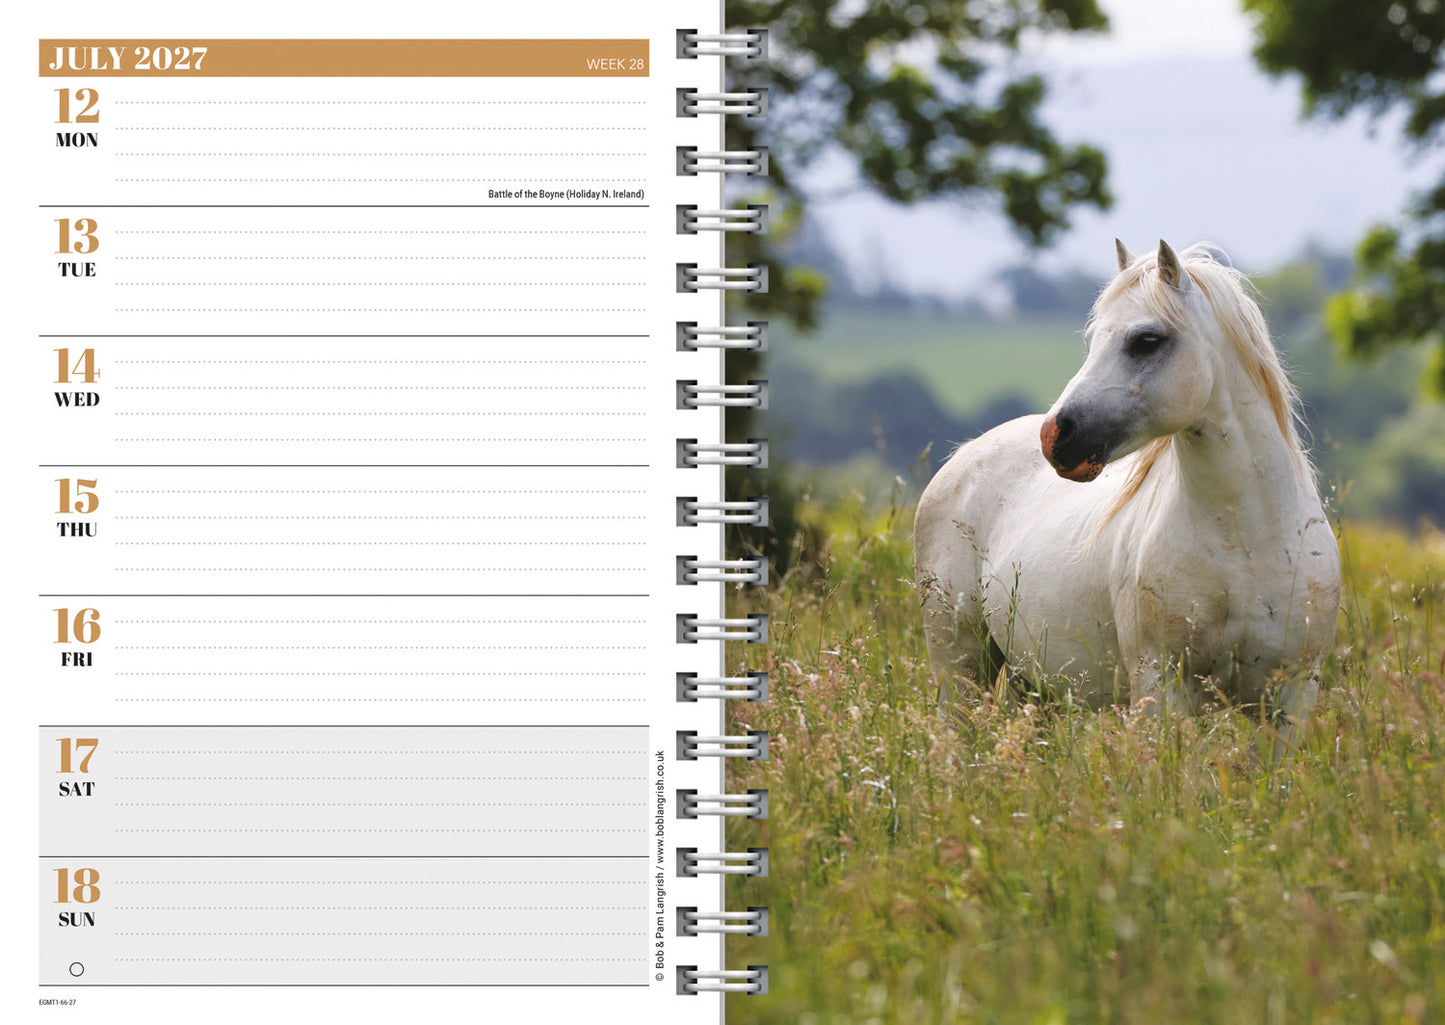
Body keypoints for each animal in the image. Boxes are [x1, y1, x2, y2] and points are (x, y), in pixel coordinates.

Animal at [914, 240, 1340, 745]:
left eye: (1146, 340)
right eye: (1092, 340)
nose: (1056, 436)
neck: (1247, 539)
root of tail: (962, 458)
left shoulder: (1293, 691)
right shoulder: (1159, 680)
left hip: (1030, 682)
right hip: (959, 664)